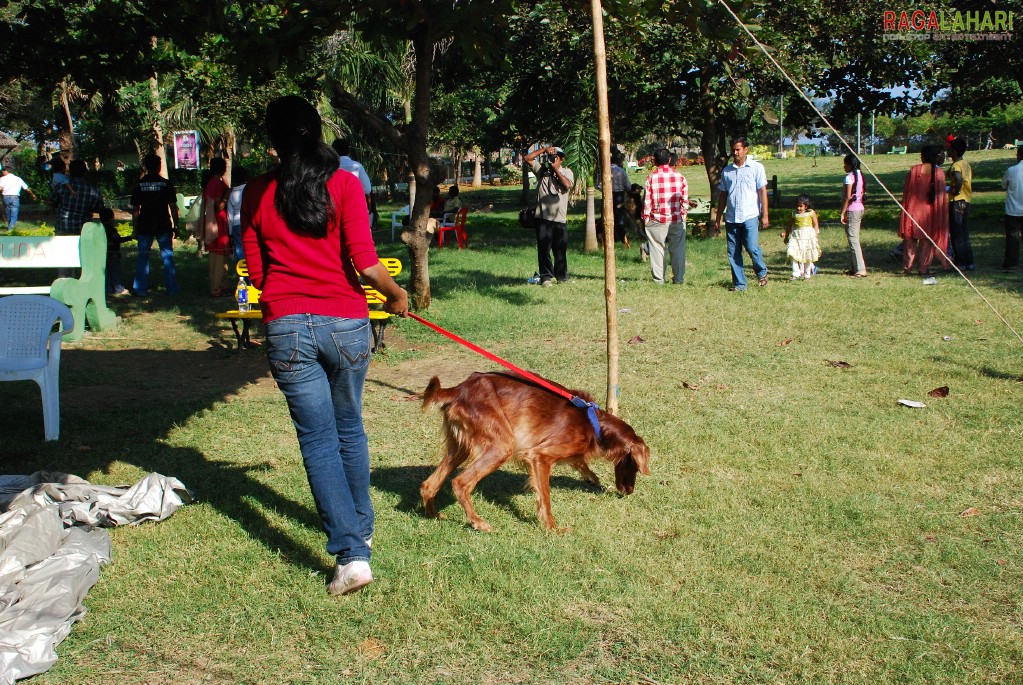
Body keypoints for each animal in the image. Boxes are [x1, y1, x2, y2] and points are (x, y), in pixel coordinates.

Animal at [417, 376, 646, 531]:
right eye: (634, 465)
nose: (629, 491)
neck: (593, 423)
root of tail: (457, 390)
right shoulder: (539, 457)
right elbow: (545, 497)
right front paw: (552, 528)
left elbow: (580, 463)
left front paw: (592, 478)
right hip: (501, 446)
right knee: (460, 483)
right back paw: (477, 522)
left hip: (459, 448)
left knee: (428, 485)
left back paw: (433, 515)